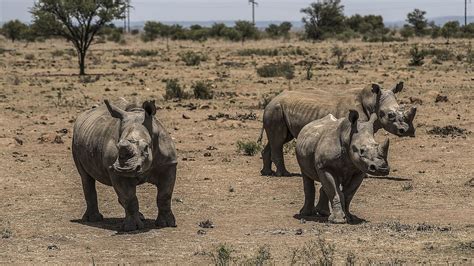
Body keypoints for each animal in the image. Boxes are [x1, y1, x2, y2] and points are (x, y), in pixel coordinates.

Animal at [72, 98, 178, 232]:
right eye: (118, 147)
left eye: (146, 147)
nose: (125, 169)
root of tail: (83, 115)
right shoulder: (116, 172)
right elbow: (129, 197)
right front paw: (132, 228)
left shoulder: (168, 164)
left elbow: (164, 195)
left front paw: (166, 224)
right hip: (75, 139)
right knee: (85, 177)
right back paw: (93, 219)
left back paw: (140, 216)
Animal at [260, 81, 414, 177]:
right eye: (390, 115)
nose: (407, 131)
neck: (373, 102)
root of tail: (271, 100)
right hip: (275, 109)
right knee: (278, 140)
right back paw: (284, 174)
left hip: (278, 110)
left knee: (279, 139)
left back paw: (267, 172)